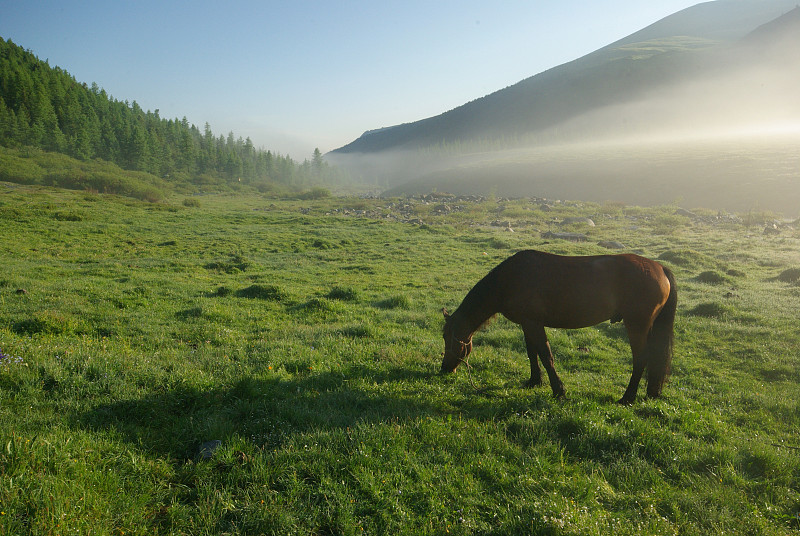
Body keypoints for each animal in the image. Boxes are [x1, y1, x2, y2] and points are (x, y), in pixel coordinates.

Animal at [440, 249, 680, 404]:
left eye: (448, 338)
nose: (445, 369)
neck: (510, 279)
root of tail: (660, 268)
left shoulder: (534, 324)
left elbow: (546, 356)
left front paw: (558, 391)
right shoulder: (527, 324)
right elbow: (532, 353)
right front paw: (534, 381)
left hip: (637, 326)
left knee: (641, 359)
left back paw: (627, 397)